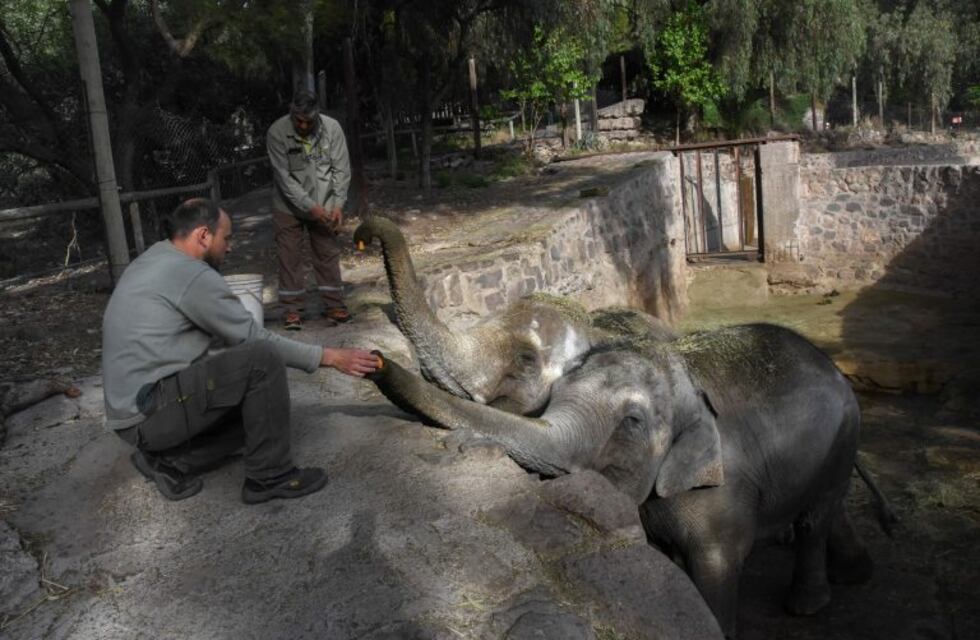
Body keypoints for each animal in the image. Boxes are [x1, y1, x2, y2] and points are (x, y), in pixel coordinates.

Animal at [365, 322, 895, 638]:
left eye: (632, 423)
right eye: (554, 394)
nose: (373, 358)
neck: (683, 373)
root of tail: (831, 364)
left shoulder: (722, 492)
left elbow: (717, 563)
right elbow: (666, 557)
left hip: (844, 436)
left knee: (816, 519)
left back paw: (806, 606)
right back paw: (854, 575)